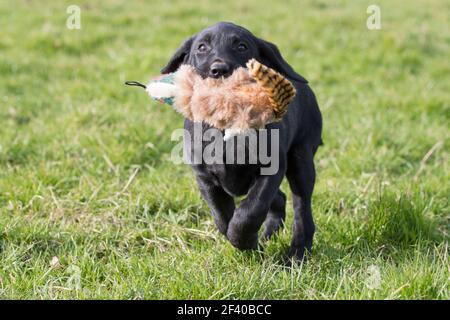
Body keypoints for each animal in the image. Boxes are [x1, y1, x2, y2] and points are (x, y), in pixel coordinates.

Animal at [160, 21, 322, 260]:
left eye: (242, 46)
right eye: (201, 47)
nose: (218, 70)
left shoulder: (271, 169)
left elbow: (250, 210)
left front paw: (243, 239)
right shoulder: (205, 178)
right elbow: (221, 216)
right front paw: (248, 243)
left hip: (301, 158)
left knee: (301, 208)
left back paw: (297, 253)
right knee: (280, 198)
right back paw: (269, 234)